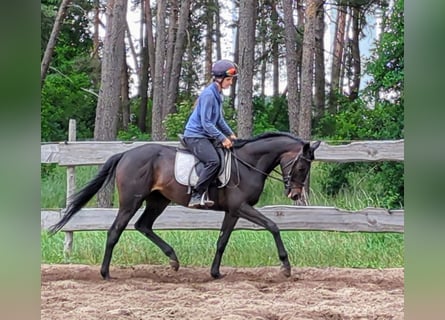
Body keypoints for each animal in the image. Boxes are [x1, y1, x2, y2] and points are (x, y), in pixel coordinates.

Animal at [48, 131, 320, 278]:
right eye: (302, 167)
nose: (295, 194)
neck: (248, 163)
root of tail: (125, 154)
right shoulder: (242, 207)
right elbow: (273, 226)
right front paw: (285, 267)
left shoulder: (233, 211)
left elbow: (222, 241)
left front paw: (215, 273)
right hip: (131, 201)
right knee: (115, 230)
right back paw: (105, 273)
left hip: (158, 200)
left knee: (143, 226)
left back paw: (173, 260)